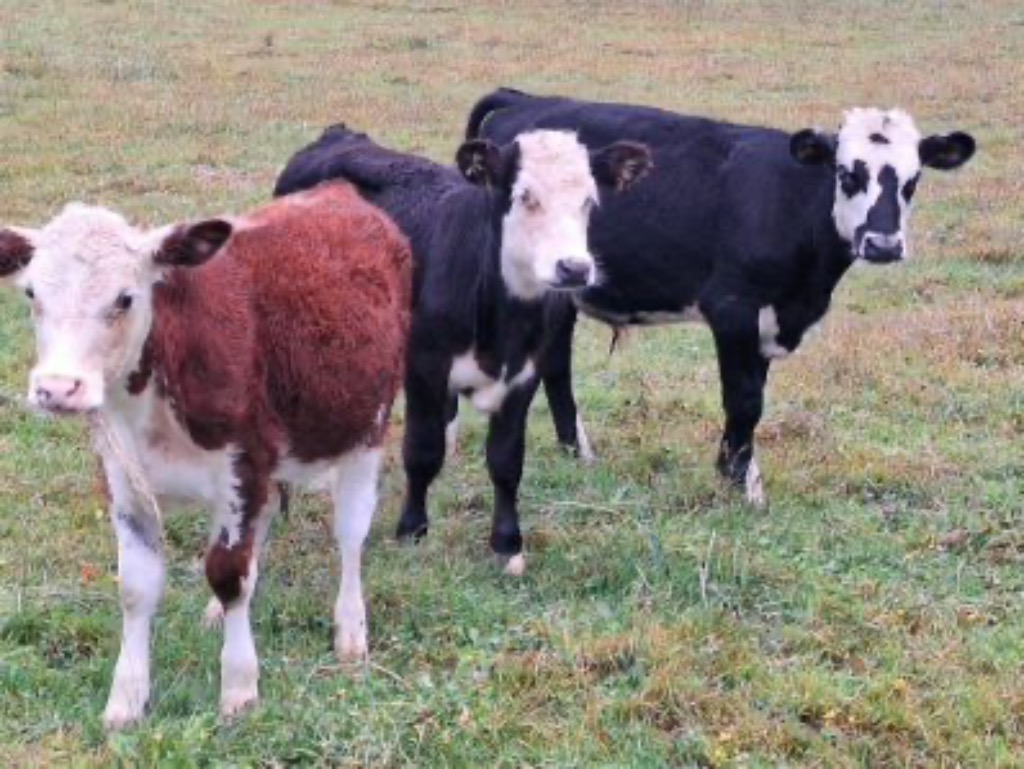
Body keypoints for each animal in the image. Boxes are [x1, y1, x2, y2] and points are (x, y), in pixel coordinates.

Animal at [0, 184, 412, 728]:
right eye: (32, 295)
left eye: (125, 298)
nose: (57, 388)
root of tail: (338, 191)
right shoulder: (123, 479)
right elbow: (136, 587)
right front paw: (126, 699)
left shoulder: (244, 465)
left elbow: (229, 573)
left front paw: (239, 688)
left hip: (368, 427)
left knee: (350, 535)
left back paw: (350, 630)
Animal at [274, 126, 651, 574]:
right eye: (525, 195)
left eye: (588, 201)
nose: (574, 268)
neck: (502, 322)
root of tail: (339, 135)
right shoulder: (424, 366)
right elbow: (423, 450)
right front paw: (412, 529)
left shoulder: (525, 375)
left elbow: (506, 460)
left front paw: (507, 543)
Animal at [466, 88, 976, 506]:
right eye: (848, 174)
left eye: (912, 180)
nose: (884, 245)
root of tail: (523, 99)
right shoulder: (733, 306)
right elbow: (744, 398)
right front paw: (738, 486)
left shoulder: (769, 319)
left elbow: (754, 396)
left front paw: (739, 472)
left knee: (555, 364)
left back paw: (577, 451)